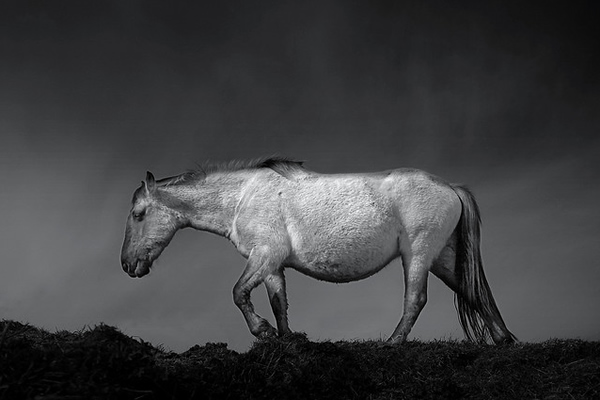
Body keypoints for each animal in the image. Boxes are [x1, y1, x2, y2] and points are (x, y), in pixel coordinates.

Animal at [120, 156, 516, 344]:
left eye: (139, 215)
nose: (127, 265)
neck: (242, 197)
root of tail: (451, 187)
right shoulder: (273, 265)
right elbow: (278, 303)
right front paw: (284, 338)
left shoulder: (264, 255)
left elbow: (237, 294)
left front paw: (261, 331)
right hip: (442, 258)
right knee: (475, 293)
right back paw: (502, 339)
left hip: (418, 255)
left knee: (415, 300)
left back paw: (392, 343)